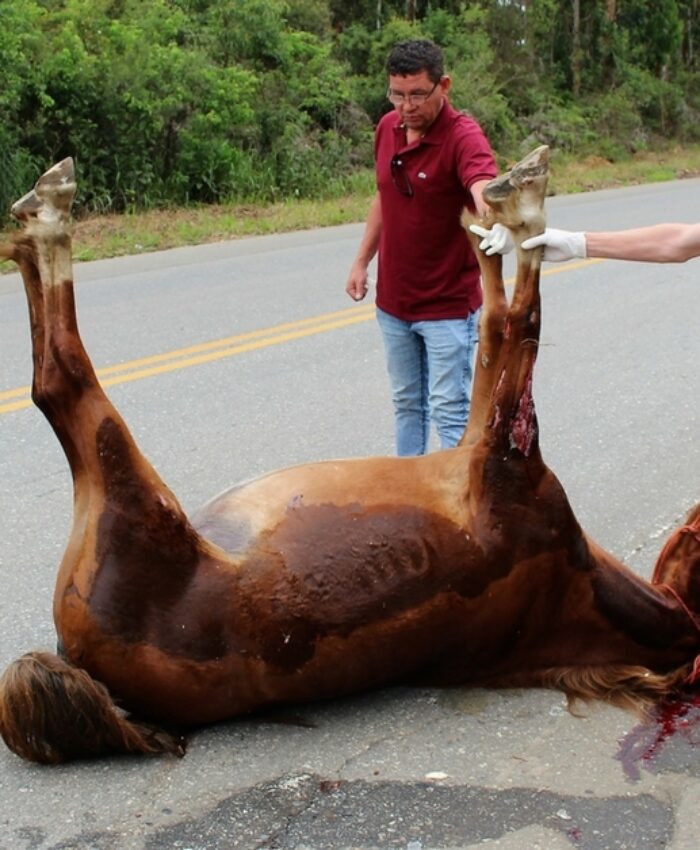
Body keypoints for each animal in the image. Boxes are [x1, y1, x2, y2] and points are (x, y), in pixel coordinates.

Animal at [1, 147, 699, 764]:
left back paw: (44, 210)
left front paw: (519, 210)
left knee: (59, 381)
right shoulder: (486, 446)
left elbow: (516, 325)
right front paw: (488, 225)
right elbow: (498, 324)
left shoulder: (501, 457)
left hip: (136, 506)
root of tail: (84, 668)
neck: (575, 594)